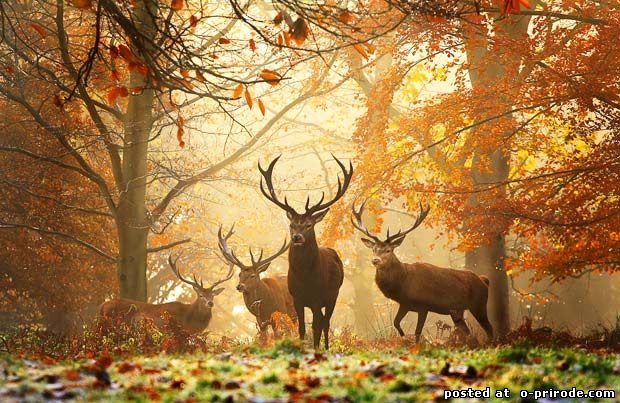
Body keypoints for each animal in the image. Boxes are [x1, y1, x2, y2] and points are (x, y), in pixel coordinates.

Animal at [258, 155, 354, 350]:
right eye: (292, 224)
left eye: (309, 225)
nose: (297, 237)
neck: (305, 278)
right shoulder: (297, 299)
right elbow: (302, 328)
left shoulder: (318, 298)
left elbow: (316, 327)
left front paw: (316, 349)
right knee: (323, 322)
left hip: (333, 295)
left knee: (326, 323)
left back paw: (326, 348)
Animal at [354, 202, 494, 344]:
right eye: (374, 249)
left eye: (388, 250)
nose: (375, 260)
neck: (403, 284)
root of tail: (484, 280)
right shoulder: (405, 304)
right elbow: (396, 323)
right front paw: (404, 338)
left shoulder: (423, 305)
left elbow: (417, 332)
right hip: (457, 311)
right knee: (468, 331)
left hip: (478, 303)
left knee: (489, 327)